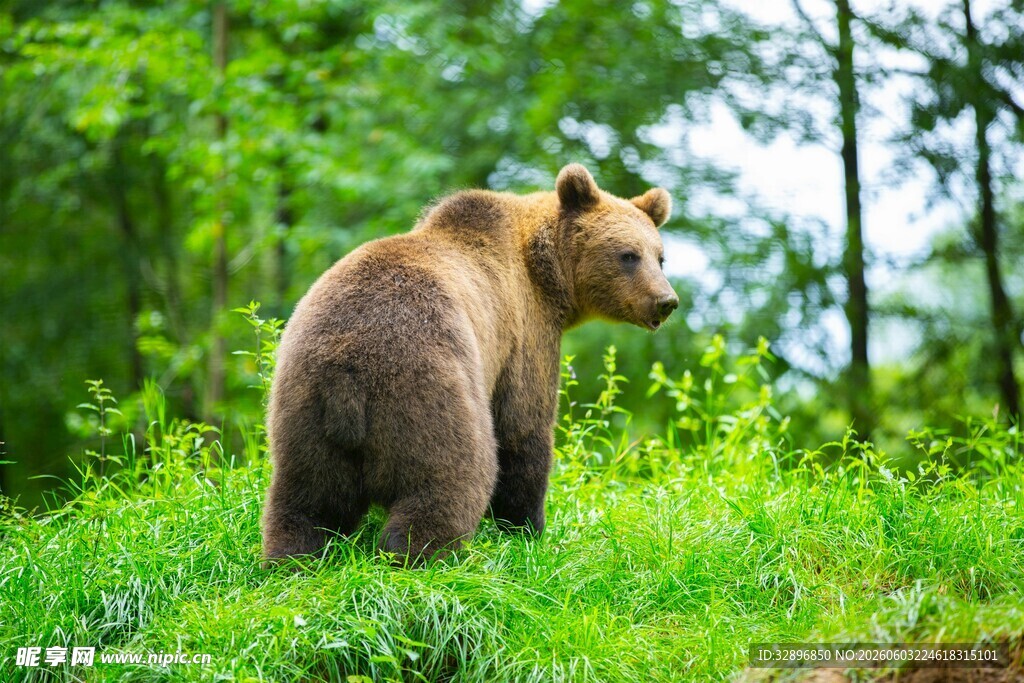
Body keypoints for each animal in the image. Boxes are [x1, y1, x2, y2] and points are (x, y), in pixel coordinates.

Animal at [261, 163, 678, 565]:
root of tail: (347, 372)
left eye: (659, 256)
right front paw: (529, 529)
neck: (547, 276)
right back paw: (422, 557)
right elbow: (524, 429)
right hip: (424, 386)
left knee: (307, 501)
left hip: (303, 408)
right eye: (628, 255)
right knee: (453, 475)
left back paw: (293, 559)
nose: (666, 301)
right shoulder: (524, 334)